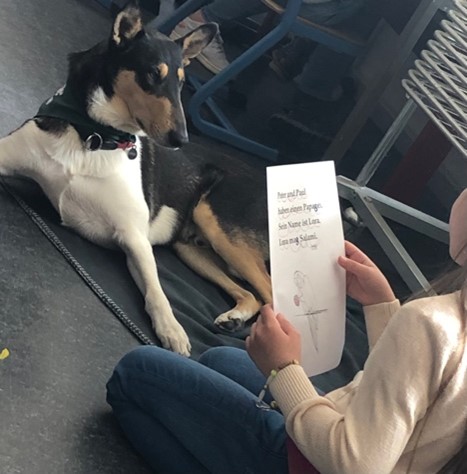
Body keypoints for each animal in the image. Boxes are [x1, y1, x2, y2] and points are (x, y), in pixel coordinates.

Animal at [0, 2, 272, 356]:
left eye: (182, 83)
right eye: (153, 74)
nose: (181, 138)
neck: (94, 136)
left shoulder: (134, 237)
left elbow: (156, 291)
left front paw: (172, 331)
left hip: (219, 226)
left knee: (271, 293)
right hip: (192, 248)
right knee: (252, 294)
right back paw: (234, 318)